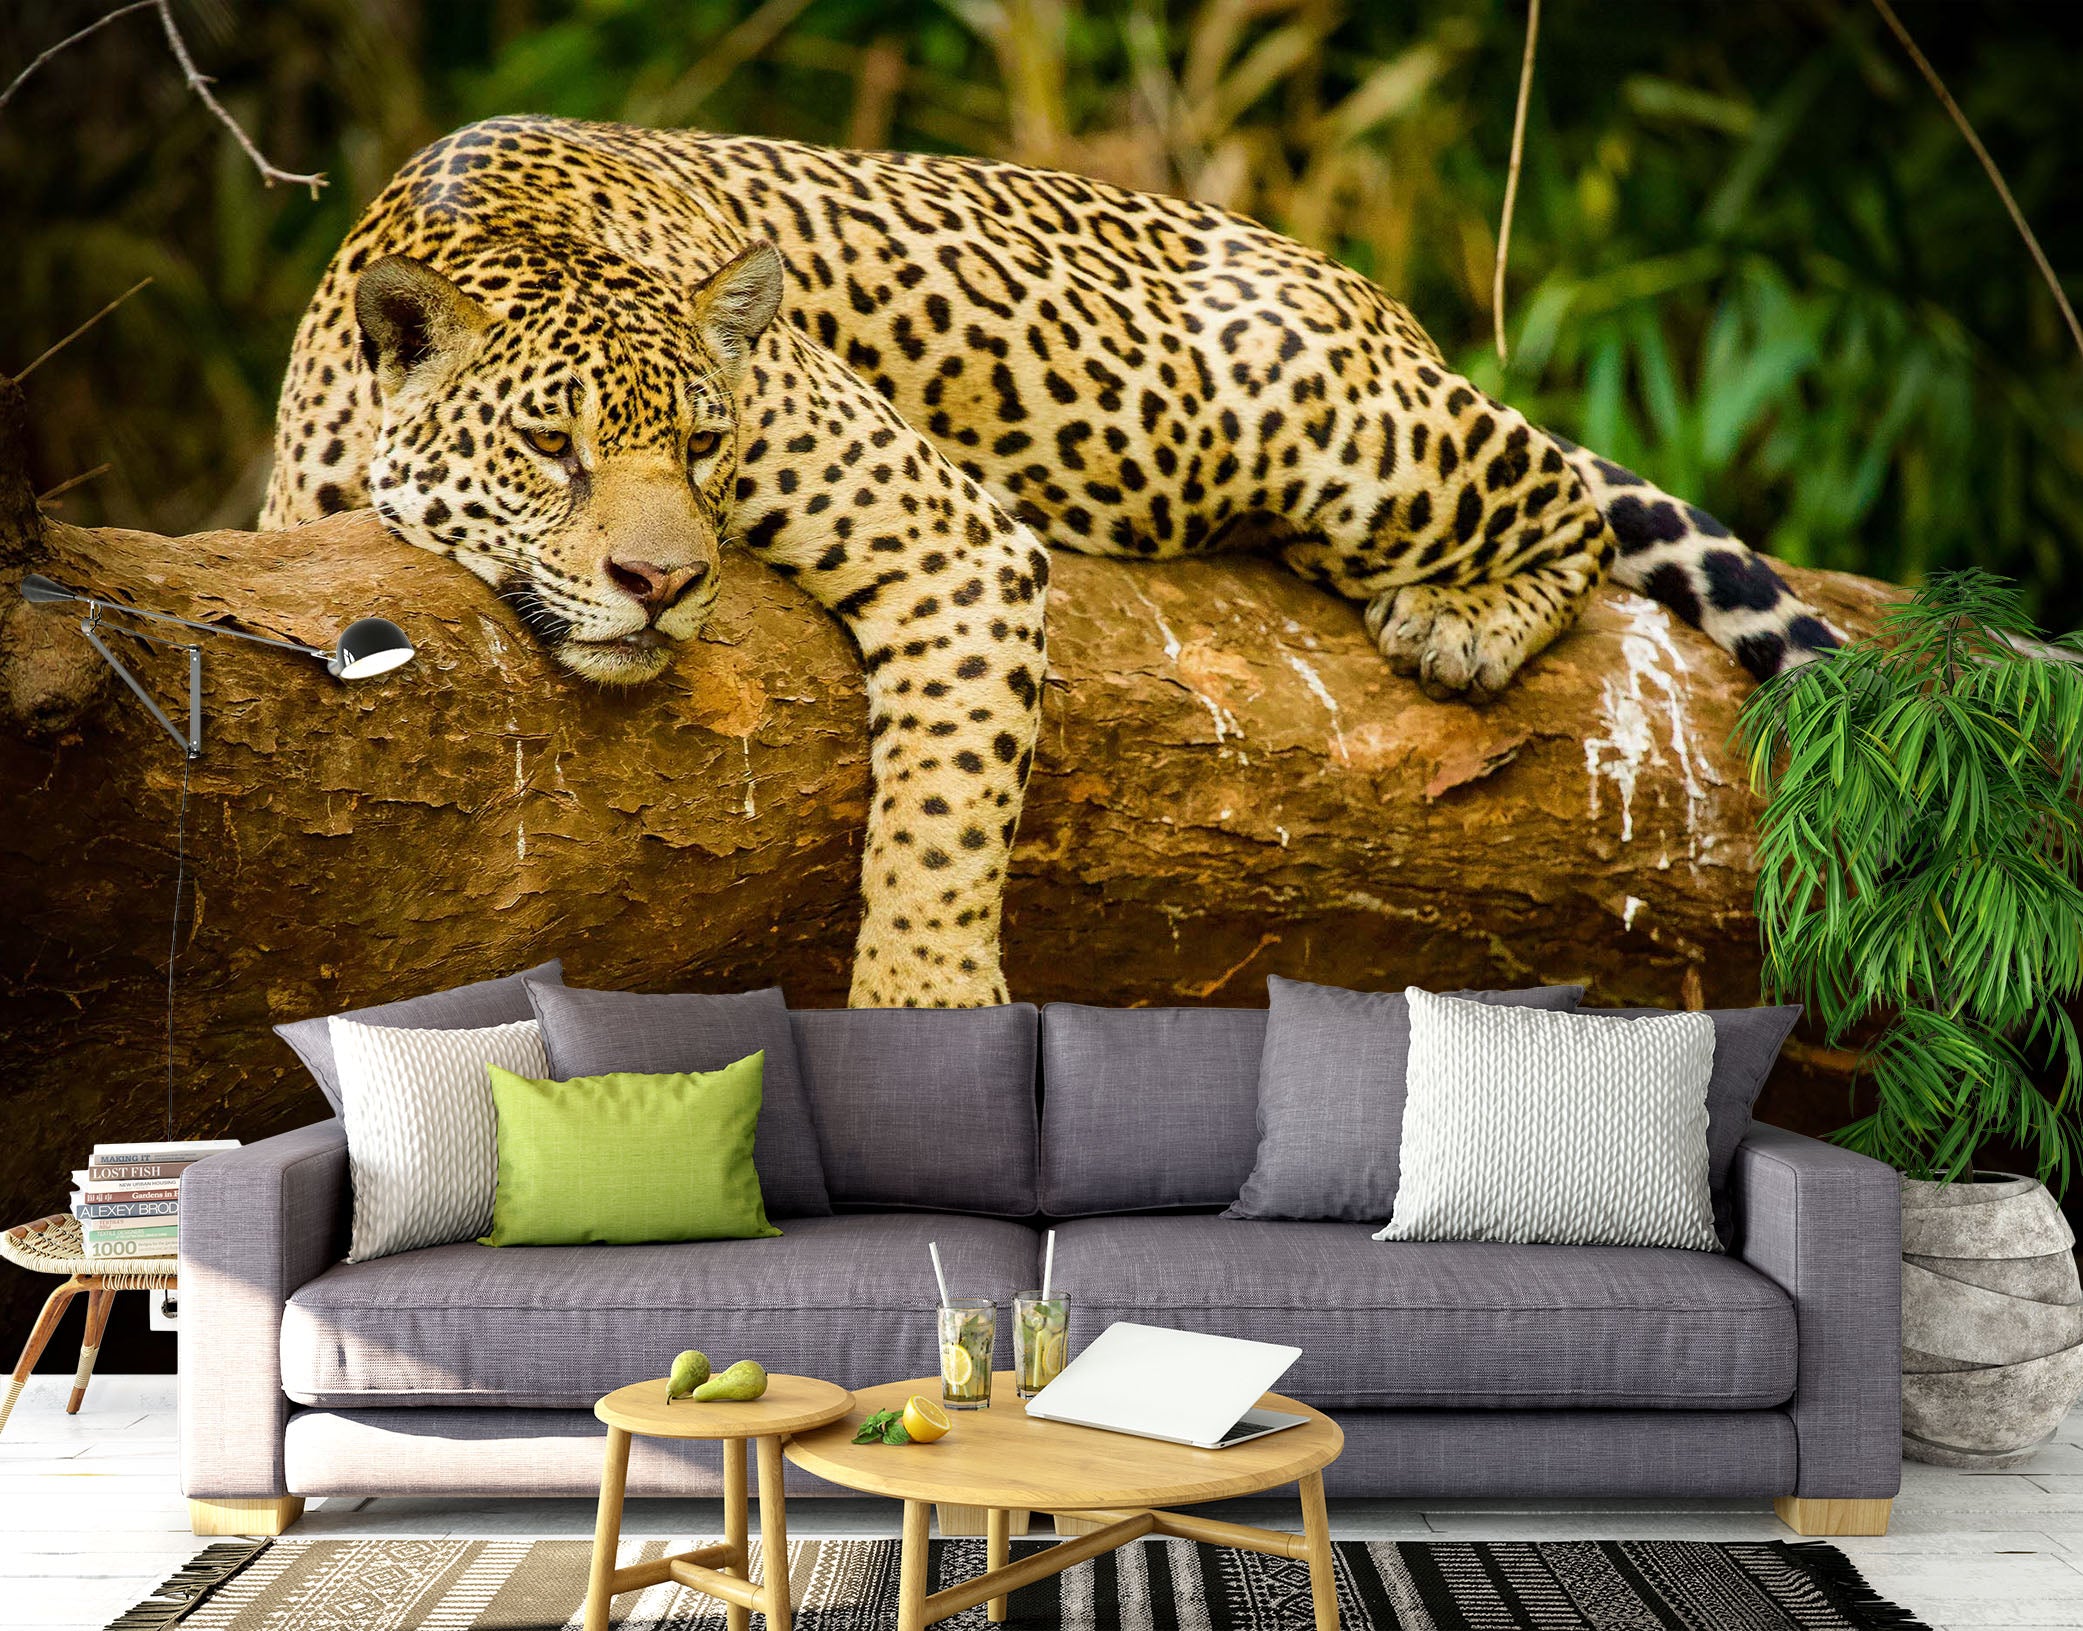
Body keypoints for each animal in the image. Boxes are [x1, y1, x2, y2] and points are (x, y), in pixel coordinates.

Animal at [263, 115, 1841, 1008]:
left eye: (706, 446)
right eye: (550, 445)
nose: (662, 583)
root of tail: (1370, 293)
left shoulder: (948, 537)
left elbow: (940, 823)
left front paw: (924, 1006)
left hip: (1317, 417)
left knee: (1558, 491)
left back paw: (1461, 623)